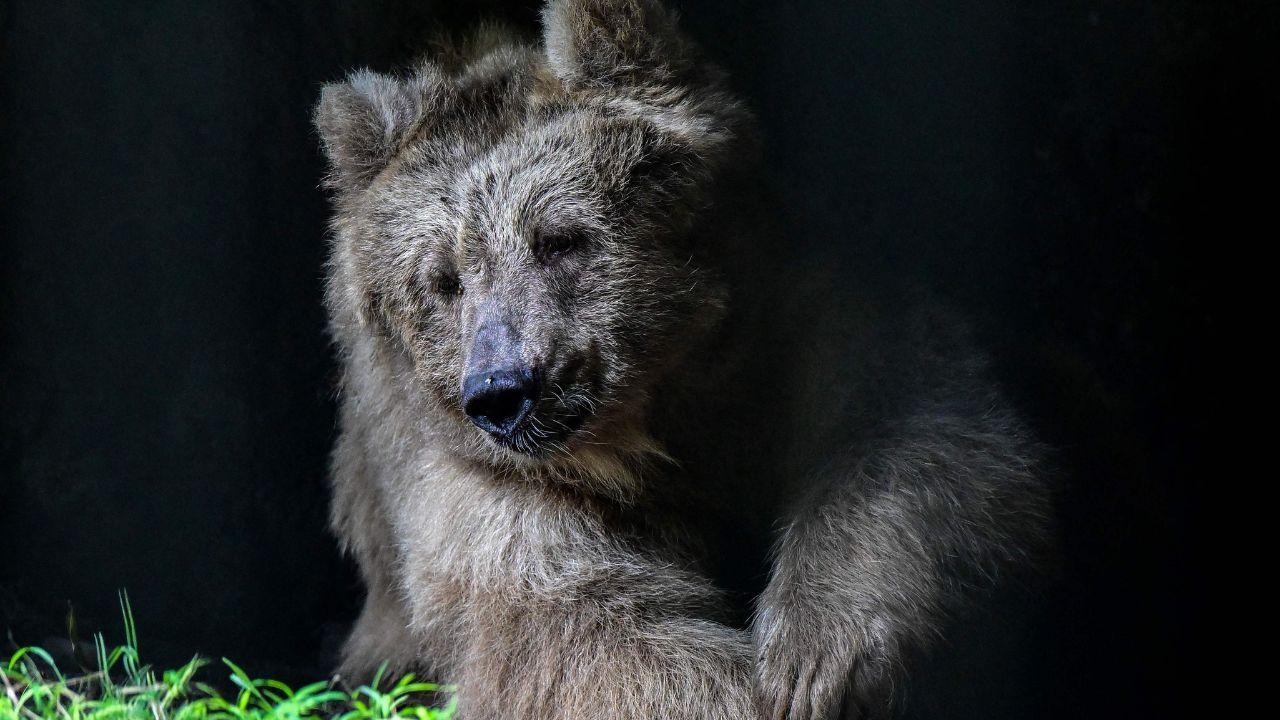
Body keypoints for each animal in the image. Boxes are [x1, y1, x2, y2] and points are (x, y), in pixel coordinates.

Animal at [313, 1, 1050, 718]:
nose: (503, 389)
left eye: (561, 239)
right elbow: (589, 643)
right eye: (443, 280)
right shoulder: (483, 499)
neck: (656, 423)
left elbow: (916, 431)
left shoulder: (786, 326)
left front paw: (814, 661)